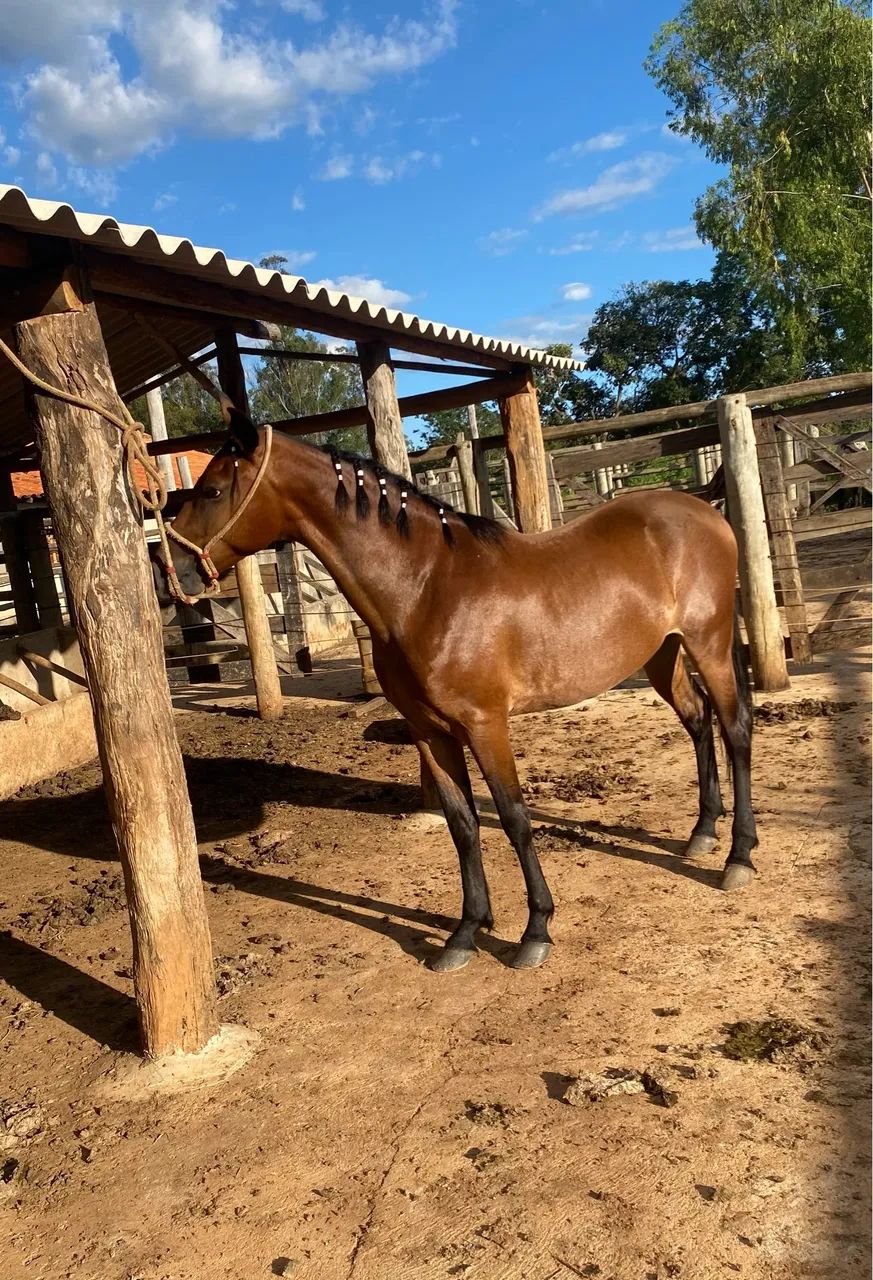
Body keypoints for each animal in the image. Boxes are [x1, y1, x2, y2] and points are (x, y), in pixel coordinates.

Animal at [152, 412, 757, 973]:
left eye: (211, 490)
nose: (166, 574)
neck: (425, 589)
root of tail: (704, 511)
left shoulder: (486, 725)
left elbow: (513, 818)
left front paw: (535, 932)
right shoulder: (430, 732)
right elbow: (462, 825)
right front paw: (465, 933)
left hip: (708, 644)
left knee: (735, 730)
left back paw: (738, 858)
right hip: (662, 655)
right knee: (698, 720)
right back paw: (702, 832)